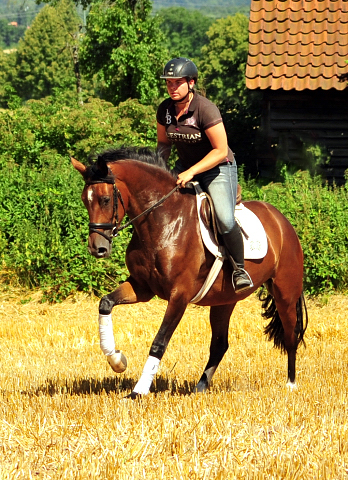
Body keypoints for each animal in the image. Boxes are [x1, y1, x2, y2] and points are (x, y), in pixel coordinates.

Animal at [70, 145, 308, 398]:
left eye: (105, 200)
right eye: (85, 200)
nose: (97, 248)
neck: (162, 221)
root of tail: (281, 220)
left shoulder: (179, 296)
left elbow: (159, 342)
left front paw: (138, 392)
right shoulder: (142, 287)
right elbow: (105, 303)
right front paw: (117, 360)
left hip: (285, 292)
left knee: (291, 334)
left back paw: (291, 384)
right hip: (225, 300)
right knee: (220, 344)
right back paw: (200, 387)